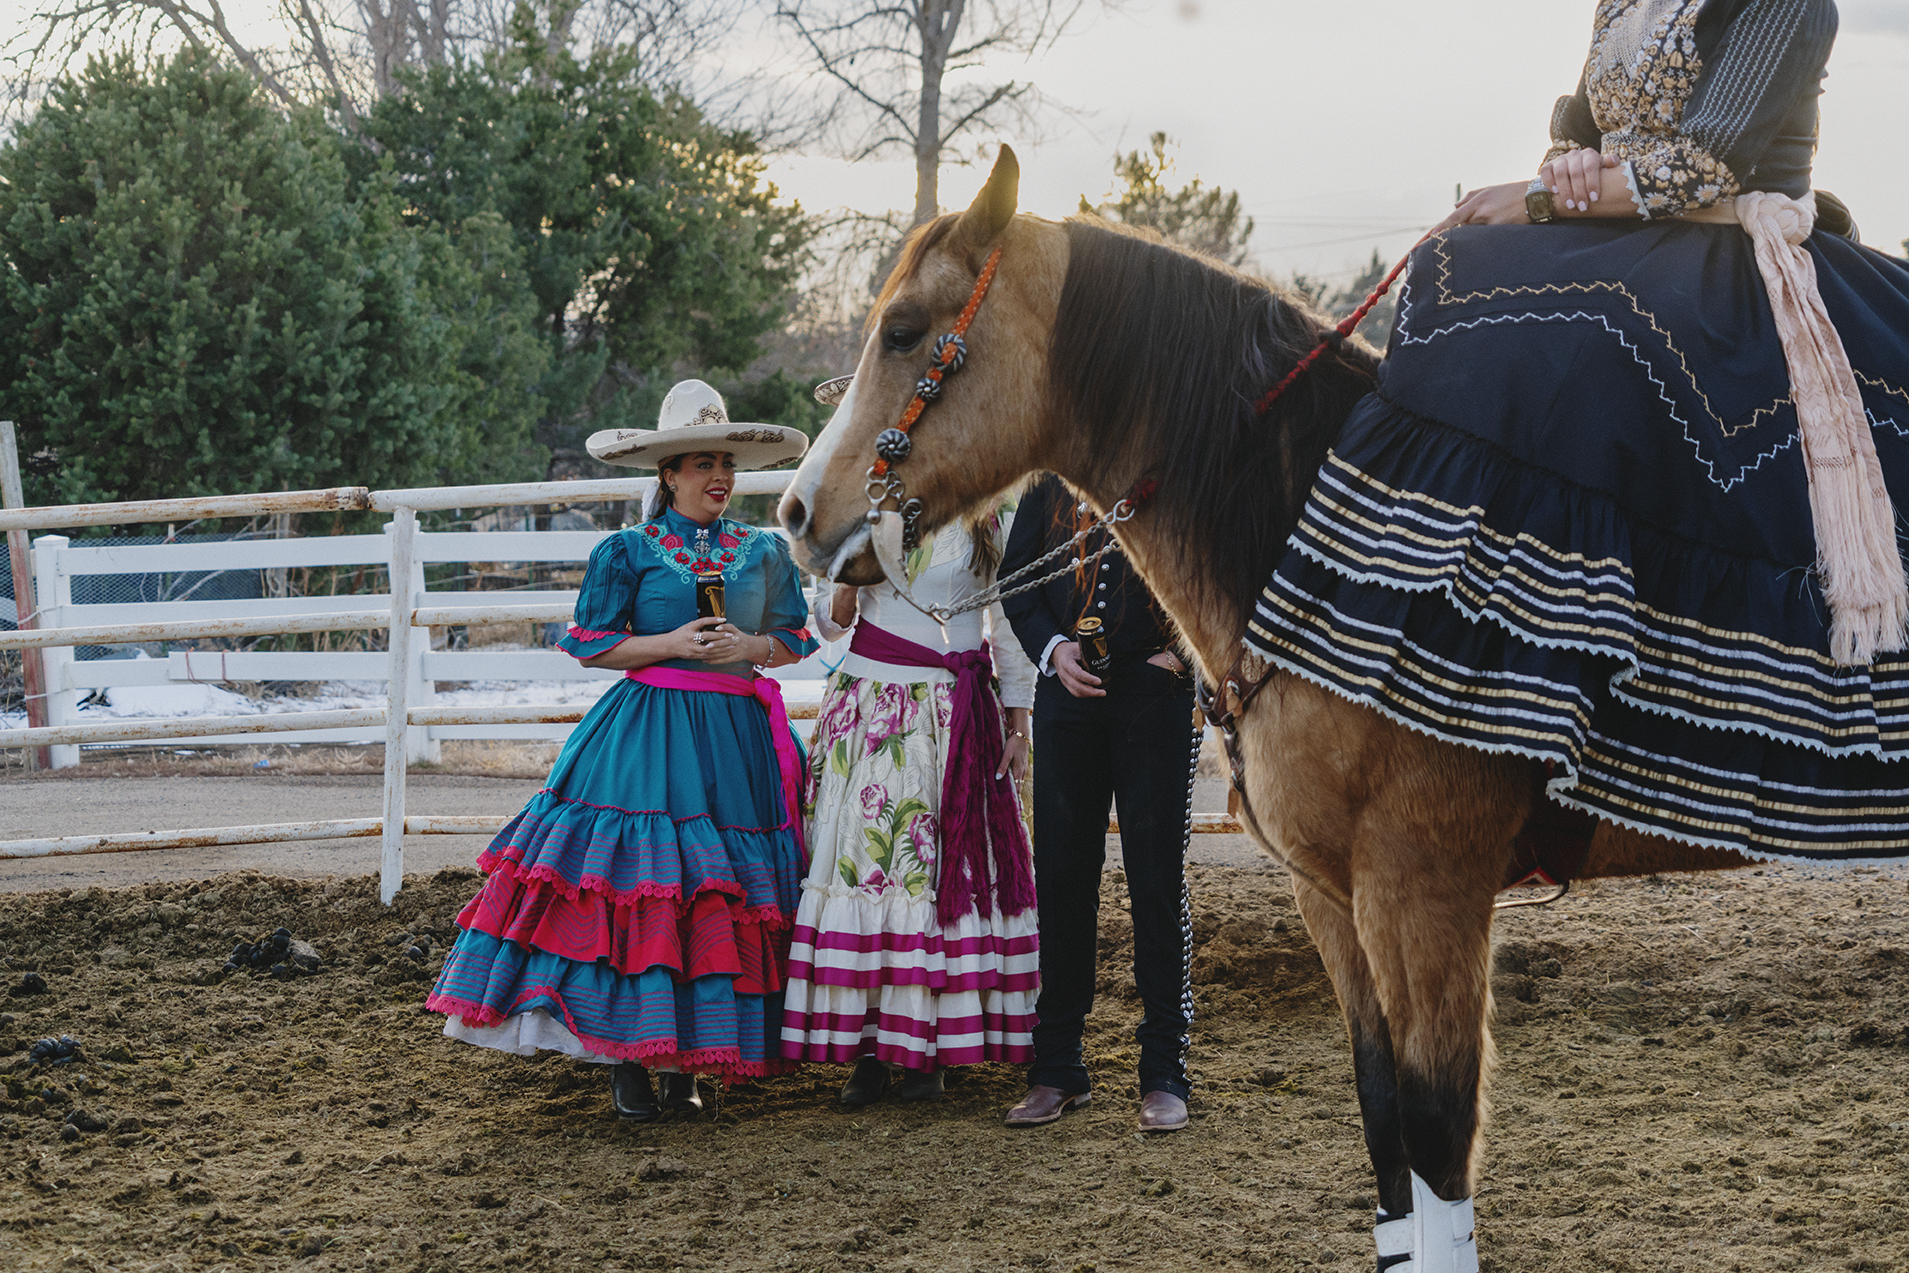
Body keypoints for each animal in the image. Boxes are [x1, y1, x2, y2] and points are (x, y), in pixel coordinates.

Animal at [778, 146, 1767, 1272]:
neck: (1319, 538)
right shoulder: (1333, 895)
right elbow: (1384, 1122)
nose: (798, 512)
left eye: (904, 329)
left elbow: (1437, 1135)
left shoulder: (1425, 891)